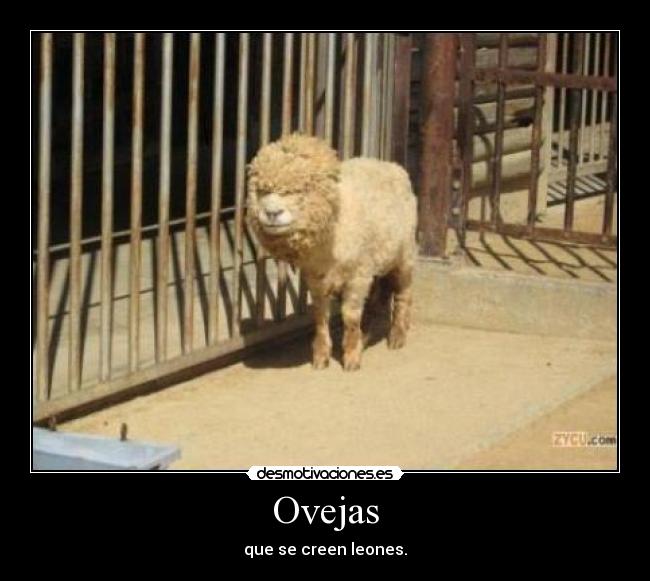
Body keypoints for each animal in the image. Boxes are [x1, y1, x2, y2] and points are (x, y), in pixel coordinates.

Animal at [247, 133, 417, 371]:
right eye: (262, 191)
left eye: (297, 191)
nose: (272, 213)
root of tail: (390, 165)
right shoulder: (316, 279)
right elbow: (320, 316)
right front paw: (321, 356)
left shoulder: (357, 276)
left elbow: (350, 317)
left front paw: (352, 357)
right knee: (378, 297)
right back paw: (368, 333)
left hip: (404, 254)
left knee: (404, 292)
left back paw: (397, 335)